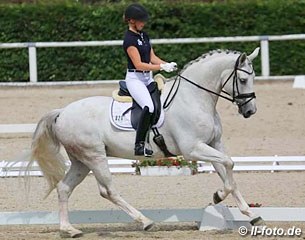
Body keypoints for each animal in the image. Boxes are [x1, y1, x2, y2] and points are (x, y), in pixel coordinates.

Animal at [26, 47, 264, 236]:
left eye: (253, 78)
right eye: (243, 80)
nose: (250, 111)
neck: (194, 98)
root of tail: (62, 112)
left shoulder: (214, 144)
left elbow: (228, 170)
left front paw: (251, 214)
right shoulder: (193, 149)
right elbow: (229, 165)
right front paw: (217, 197)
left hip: (80, 161)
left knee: (64, 188)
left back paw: (69, 229)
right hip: (94, 156)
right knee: (108, 190)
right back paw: (146, 222)